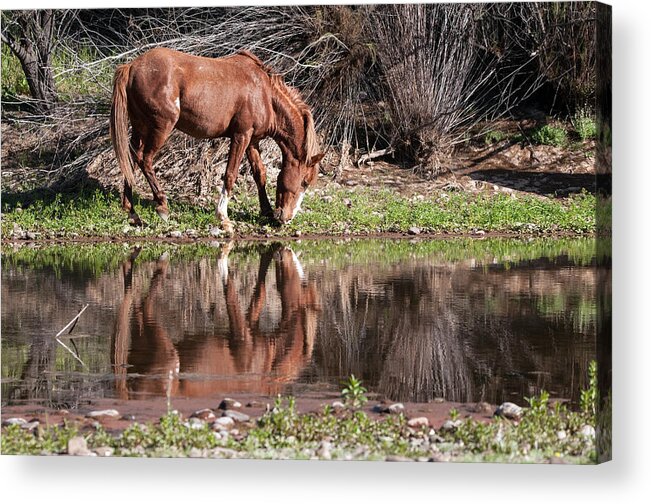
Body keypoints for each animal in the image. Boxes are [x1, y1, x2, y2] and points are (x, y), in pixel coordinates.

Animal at [113, 47, 326, 232]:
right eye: (304, 182)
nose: (286, 218)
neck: (265, 94)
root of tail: (131, 66)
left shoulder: (252, 140)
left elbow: (260, 174)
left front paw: (265, 211)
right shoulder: (241, 136)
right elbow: (230, 174)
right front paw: (223, 216)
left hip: (140, 128)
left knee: (131, 160)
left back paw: (132, 212)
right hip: (161, 127)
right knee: (145, 160)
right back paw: (162, 205)